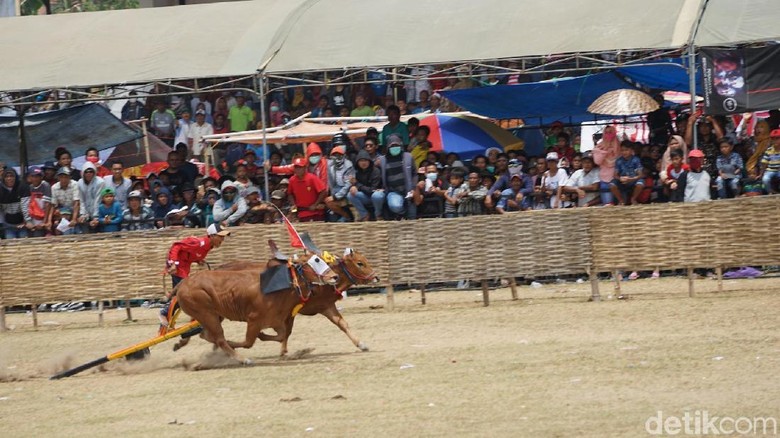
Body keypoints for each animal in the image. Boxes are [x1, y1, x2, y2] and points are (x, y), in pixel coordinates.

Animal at [172, 253, 336, 362]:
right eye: (315, 262)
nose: (334, 276)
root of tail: (183, 283)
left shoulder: (277, 319)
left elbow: (282, 335)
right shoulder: (254, 319)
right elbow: (248, 342)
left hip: (214, 316)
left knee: (205, 335)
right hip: (207, 314)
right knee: (219, 339)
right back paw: (241, 359)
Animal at [218, 248, 380, 354]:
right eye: (360, 263)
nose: (376, 277)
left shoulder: (326, 306)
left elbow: (342, 324)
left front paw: (361, 344)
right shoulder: (290, 311)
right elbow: (285, 332)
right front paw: (283, 350)